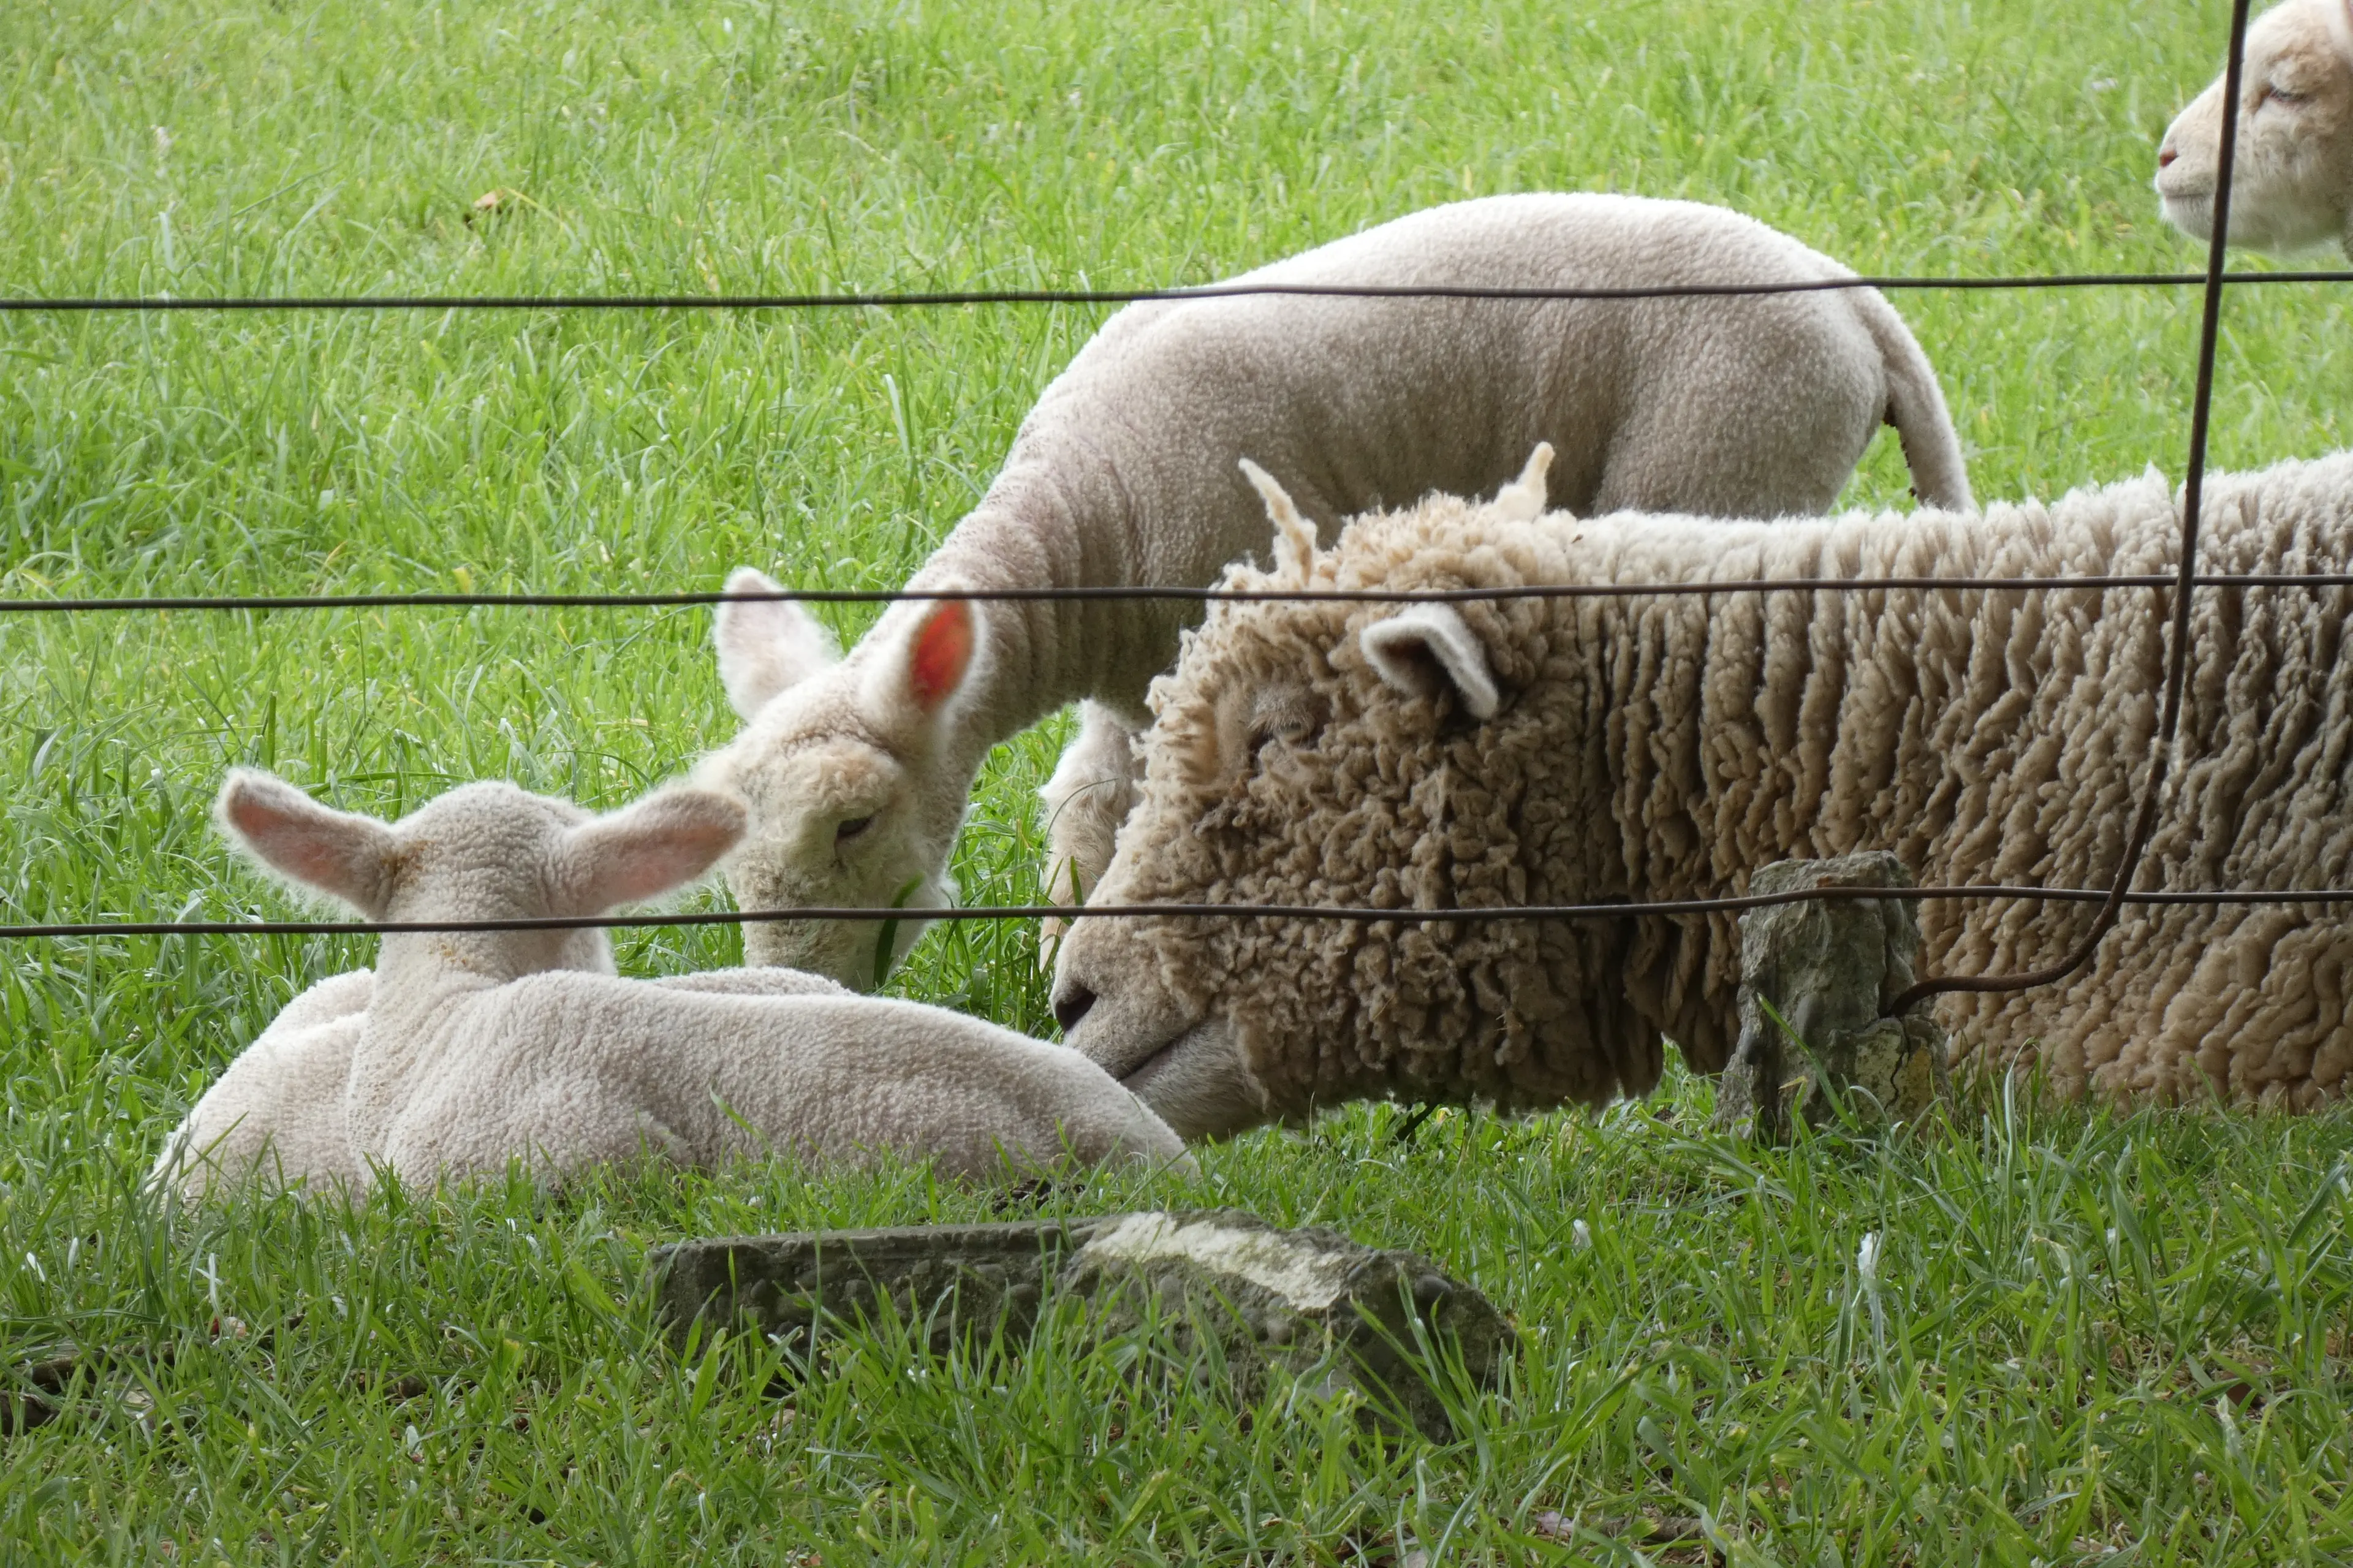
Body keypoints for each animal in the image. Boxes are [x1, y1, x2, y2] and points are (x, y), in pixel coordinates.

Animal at [702, 191, 1976, 990]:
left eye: (853, 823)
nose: (792, 991)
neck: (1074, 531)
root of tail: (1856, 302)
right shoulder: (1133, 672)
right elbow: (1090, 802)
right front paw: (1060, 952)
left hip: (1728, 455)